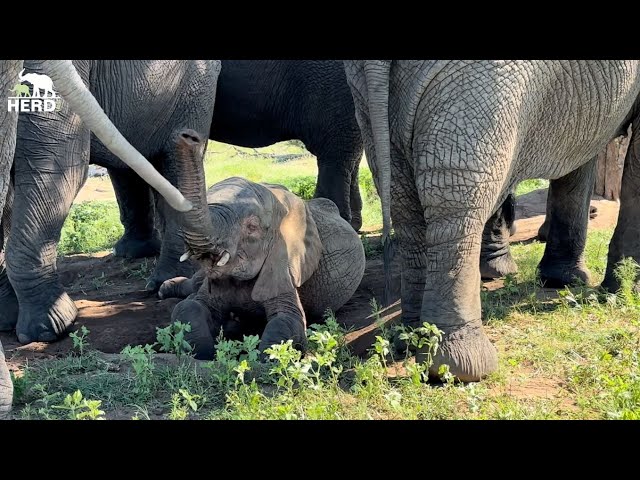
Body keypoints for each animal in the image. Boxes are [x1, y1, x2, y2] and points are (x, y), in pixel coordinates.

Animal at [158, 129, 364, 358]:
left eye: (252, 227)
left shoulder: (284, 263)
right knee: (195, 282)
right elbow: (189, 307)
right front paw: (204, 354)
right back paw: (165, 288)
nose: (189, 137)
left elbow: (287, 319)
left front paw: (266, 360)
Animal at [348, 61, 640, 382]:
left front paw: (565, 281)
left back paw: (410, 339)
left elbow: (579, 151)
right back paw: (461, 368)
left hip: (366, 95)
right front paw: (622, 288)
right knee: (457, 196)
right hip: (478, 86)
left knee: (404, 200)